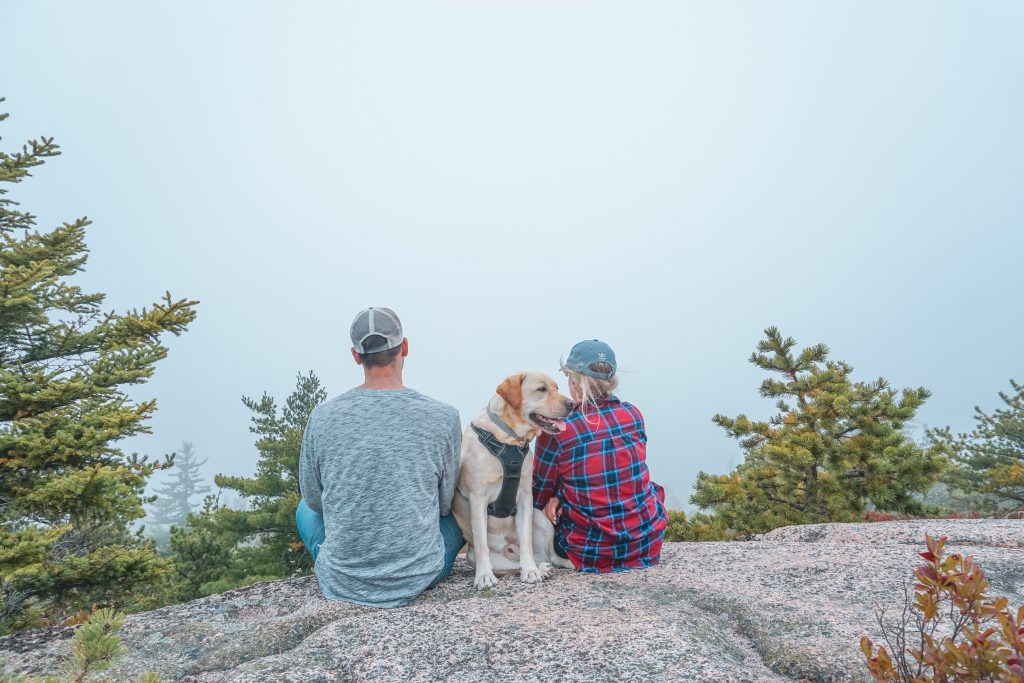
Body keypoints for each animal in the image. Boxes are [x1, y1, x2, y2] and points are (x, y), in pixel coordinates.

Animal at [452, 370, 581, 589]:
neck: (509, 438)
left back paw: (543, 566)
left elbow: (526, 539)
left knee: (547, 556)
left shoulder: (525, 497)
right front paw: (484, 576)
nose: (572, 404)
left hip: (541, 518)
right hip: (485, 557)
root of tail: (509, 545)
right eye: (541, 389)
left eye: (556, 388)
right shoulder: (478, 499)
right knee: (508, 564)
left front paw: (530, 571)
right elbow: (482, 543)